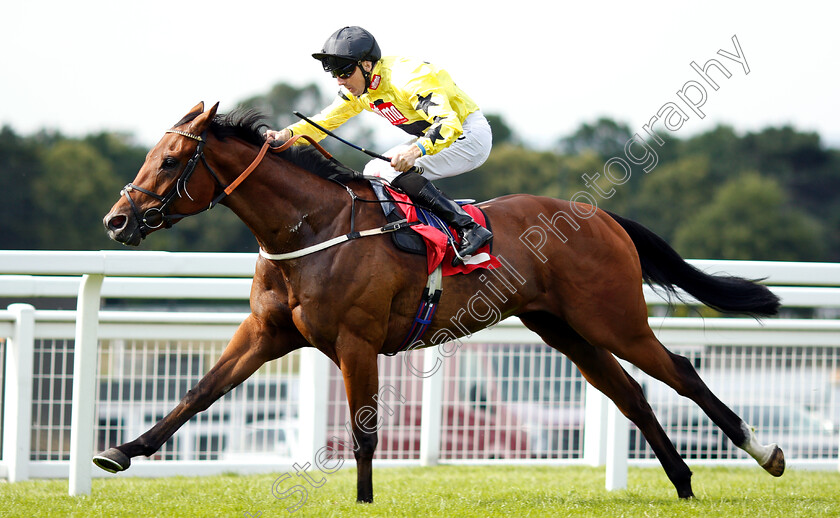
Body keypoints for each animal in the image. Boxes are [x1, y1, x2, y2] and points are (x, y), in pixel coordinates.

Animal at [100, 101, 788, 504]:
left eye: (171, 160)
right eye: (150, 154)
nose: (116, 221)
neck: (309, 227)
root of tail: (601, 217)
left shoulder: (356, 342)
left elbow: (364, 435)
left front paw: (364, 502)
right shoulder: (266, 334)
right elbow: (199, 392)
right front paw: (121, 451)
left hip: (612, 318)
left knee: (680, 373)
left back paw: (766, 453)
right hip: (564, 329)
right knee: (630, 394)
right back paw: (684, 482)